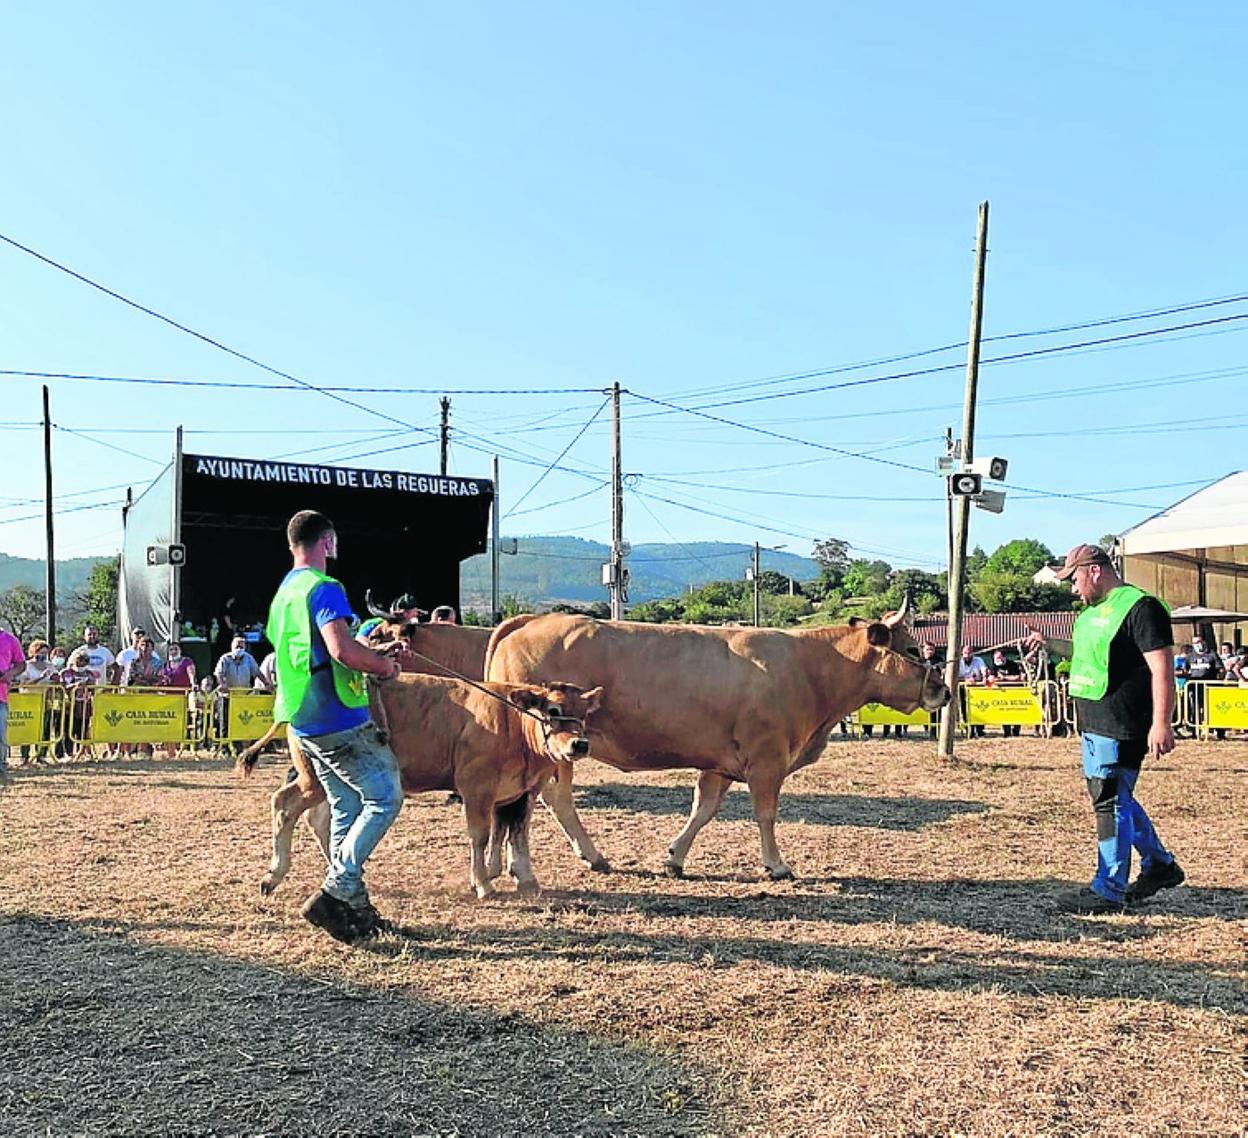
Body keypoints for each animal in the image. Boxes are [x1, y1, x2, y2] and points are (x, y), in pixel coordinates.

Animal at [247, 673, 599, 898]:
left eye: (584, 714)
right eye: (553, 710)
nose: (580, 744)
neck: (512, 722)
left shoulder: (523, 792)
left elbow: (518, 833)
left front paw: (526, 879)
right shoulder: (476, 788)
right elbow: (481, 835)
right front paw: (482, 884)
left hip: (326, 778)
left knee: (317, 817)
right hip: (313, 777)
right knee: (285, 804)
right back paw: (273, 875)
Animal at [481, 608, 948, 873]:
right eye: (912, 649)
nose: (942, 690)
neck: (809, 667)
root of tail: (534, 620)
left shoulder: (720, 764)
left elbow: (702, 810)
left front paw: (674, 857)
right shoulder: (767, 760)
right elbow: (765, 814)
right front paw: (776, 864)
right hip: (552, 751)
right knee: (547, 801)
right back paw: (571, 858)